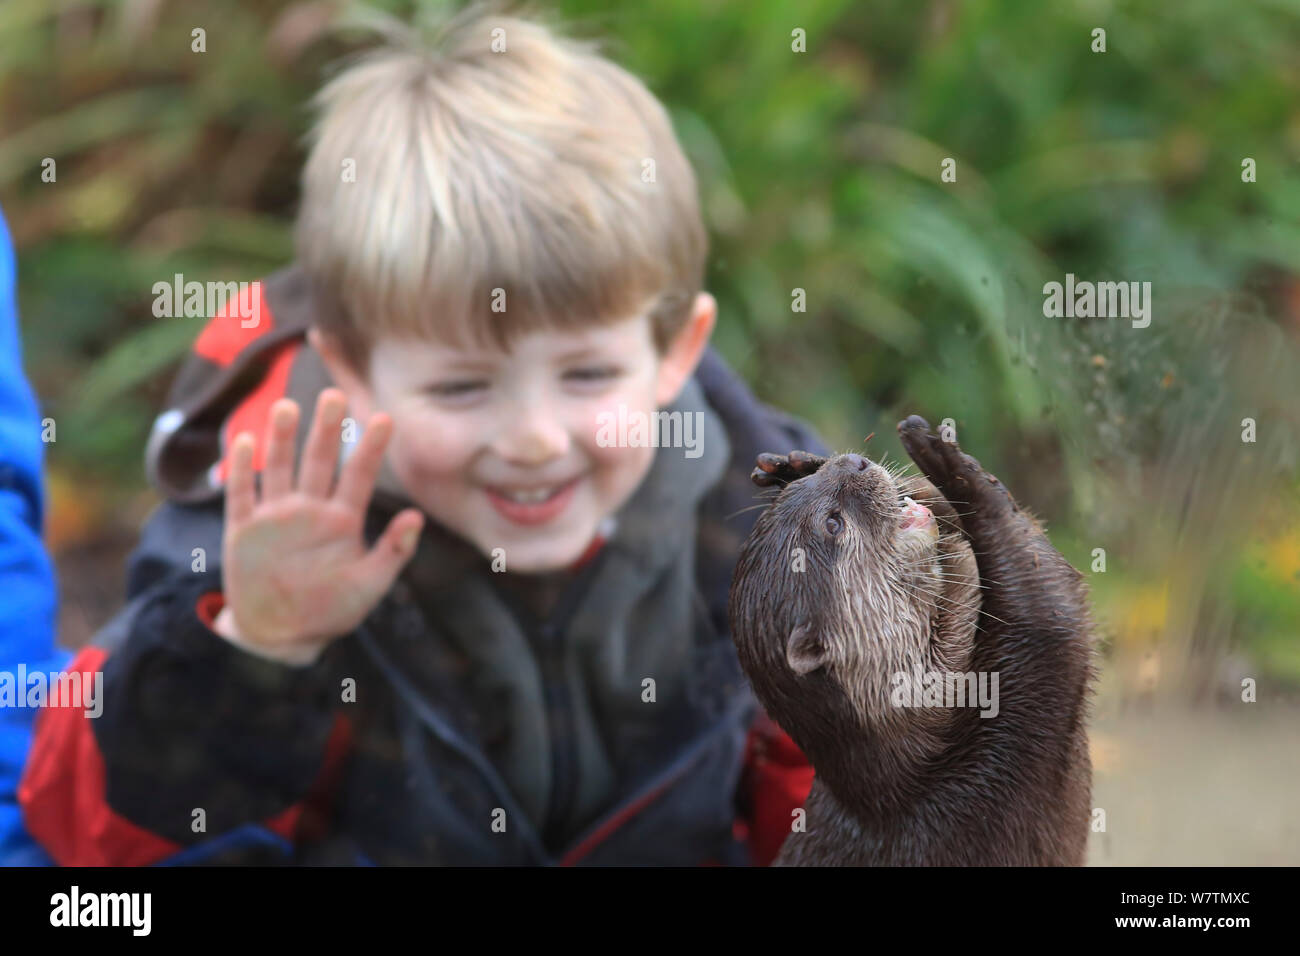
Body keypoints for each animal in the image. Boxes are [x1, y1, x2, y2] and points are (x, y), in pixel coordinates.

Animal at [733, 416, 1097, 863]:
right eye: (832, 524)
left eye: (807, 487)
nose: (853, 462)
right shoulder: (1029, 686)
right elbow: (1041, 586)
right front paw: (951, 466)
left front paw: (794, 463)